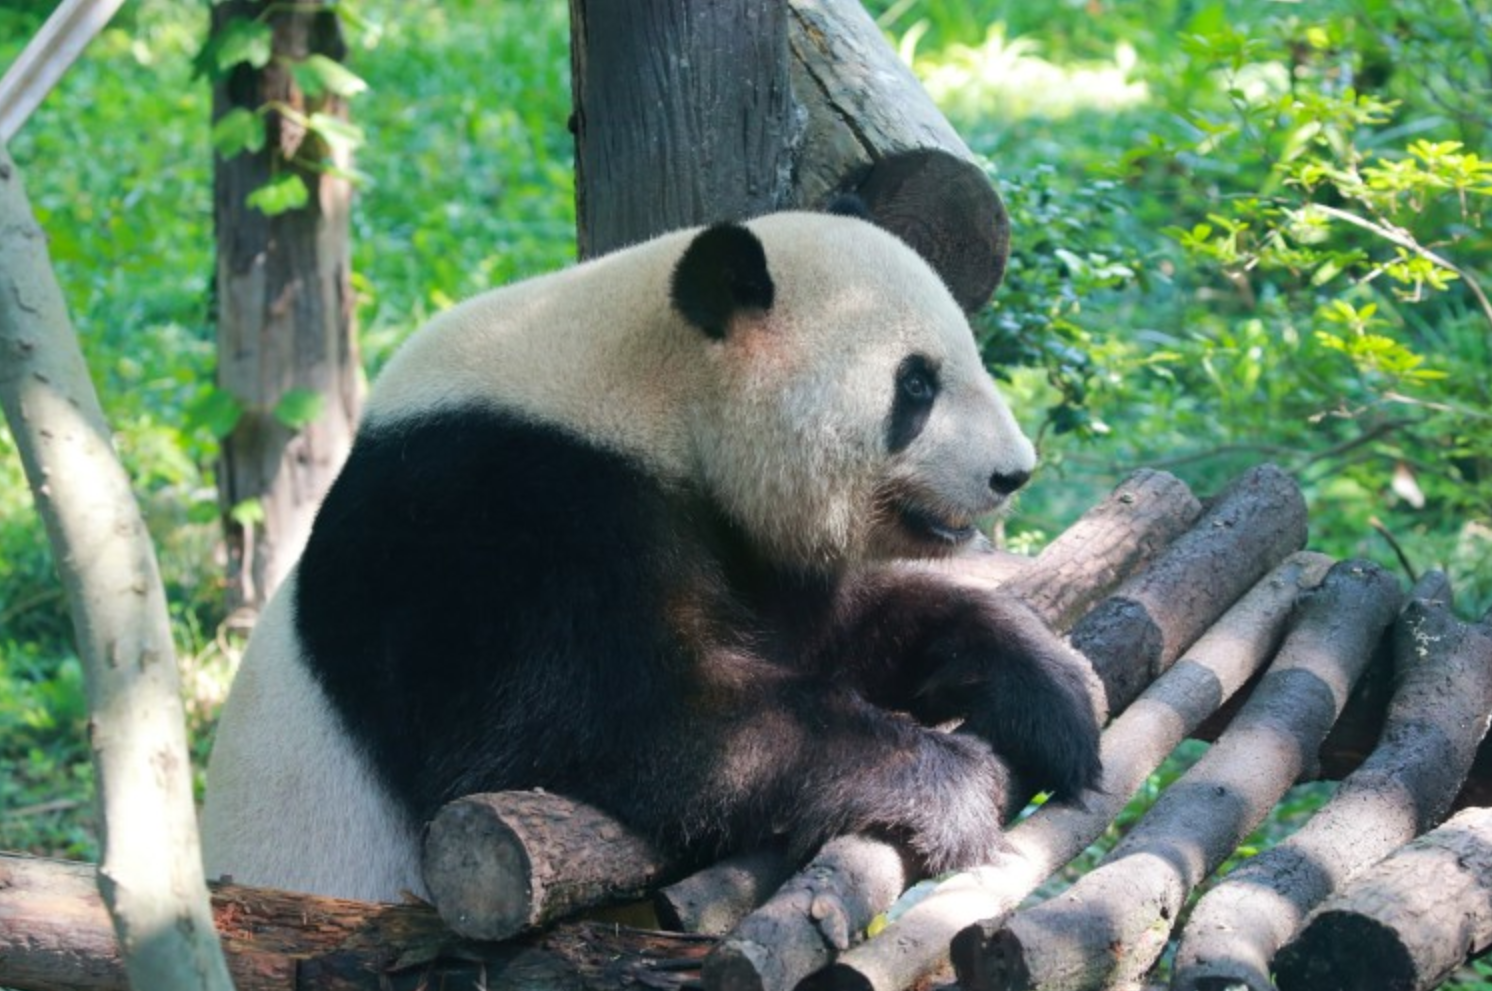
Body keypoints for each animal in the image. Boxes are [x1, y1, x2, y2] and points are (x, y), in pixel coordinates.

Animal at [200, 205, 1103, 903]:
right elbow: (619, 721)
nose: (1012, 471)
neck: (647, 383)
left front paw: (1049, 694)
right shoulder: (493, 524)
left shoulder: (730, 528)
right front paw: (953, 782)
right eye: (915, 384)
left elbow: (843, 635)